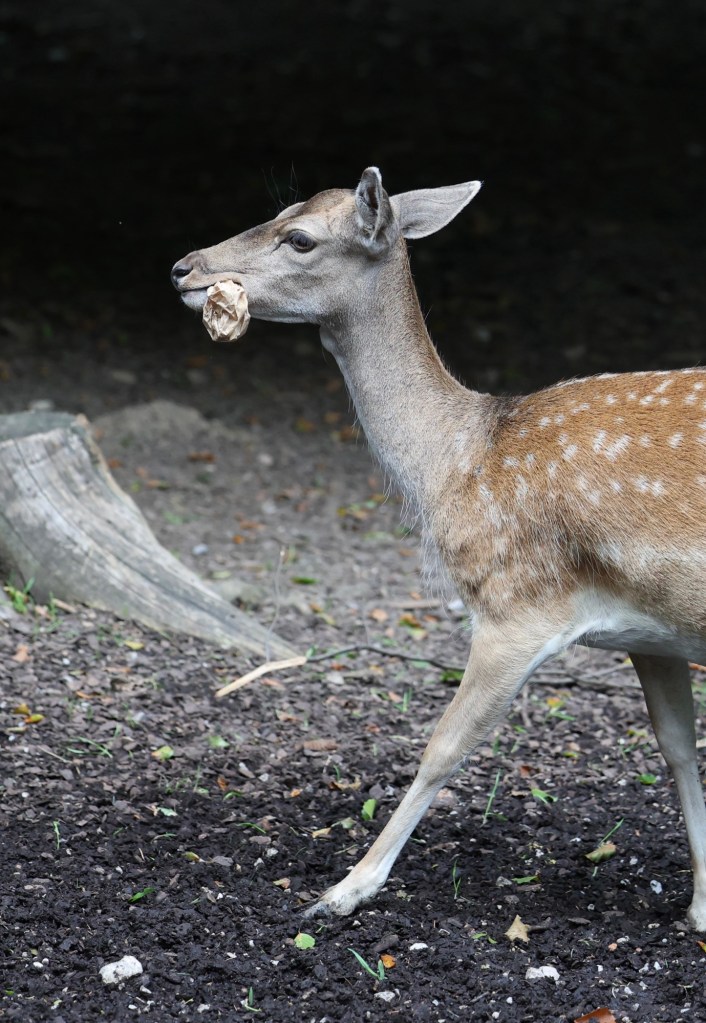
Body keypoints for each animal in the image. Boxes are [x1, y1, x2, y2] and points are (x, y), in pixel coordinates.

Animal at [172, 167, 706, 930]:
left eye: (299, 237)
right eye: (282, 207)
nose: (185, 267)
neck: (458, 458)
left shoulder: (518, 604)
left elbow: (442, 748)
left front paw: (345, 890)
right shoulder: (649, 629)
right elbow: (679, 750)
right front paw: (701, 905)